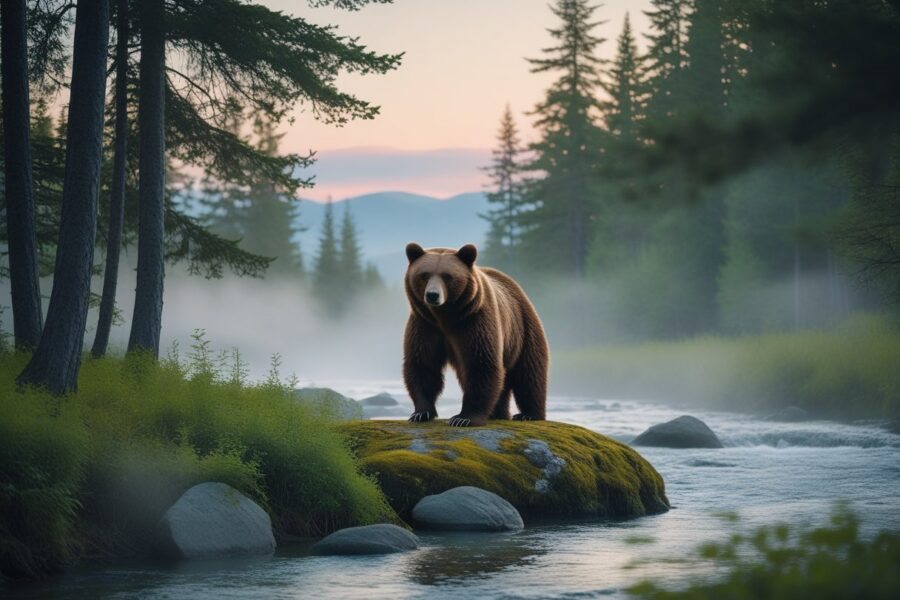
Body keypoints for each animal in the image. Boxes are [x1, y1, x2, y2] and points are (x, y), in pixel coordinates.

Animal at [403, 242, 549, 427]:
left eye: (447, 276)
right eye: (424, 274)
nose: (432, 295)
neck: (445, 317)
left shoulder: (475, 321)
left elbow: (482, 364)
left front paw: (463, 418)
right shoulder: (425, 324)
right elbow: (423, 363)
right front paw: (421, 413)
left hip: (524, 329)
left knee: (529, 374)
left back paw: (528, 414)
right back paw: (498, 413)